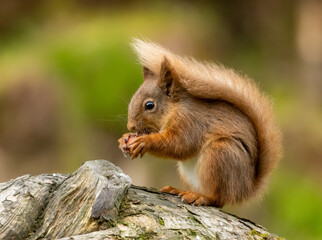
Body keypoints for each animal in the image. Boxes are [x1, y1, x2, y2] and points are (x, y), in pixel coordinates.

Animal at [117, 38, 282, 207]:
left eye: (149, 105)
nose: (131, 126)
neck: (174, 108)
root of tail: (245, 189)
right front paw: (124, 139)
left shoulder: (190, 122)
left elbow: (179, 144)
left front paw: (144, 141)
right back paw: (178, 190)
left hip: (220, 154)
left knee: (218, 199)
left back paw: (200, 197)